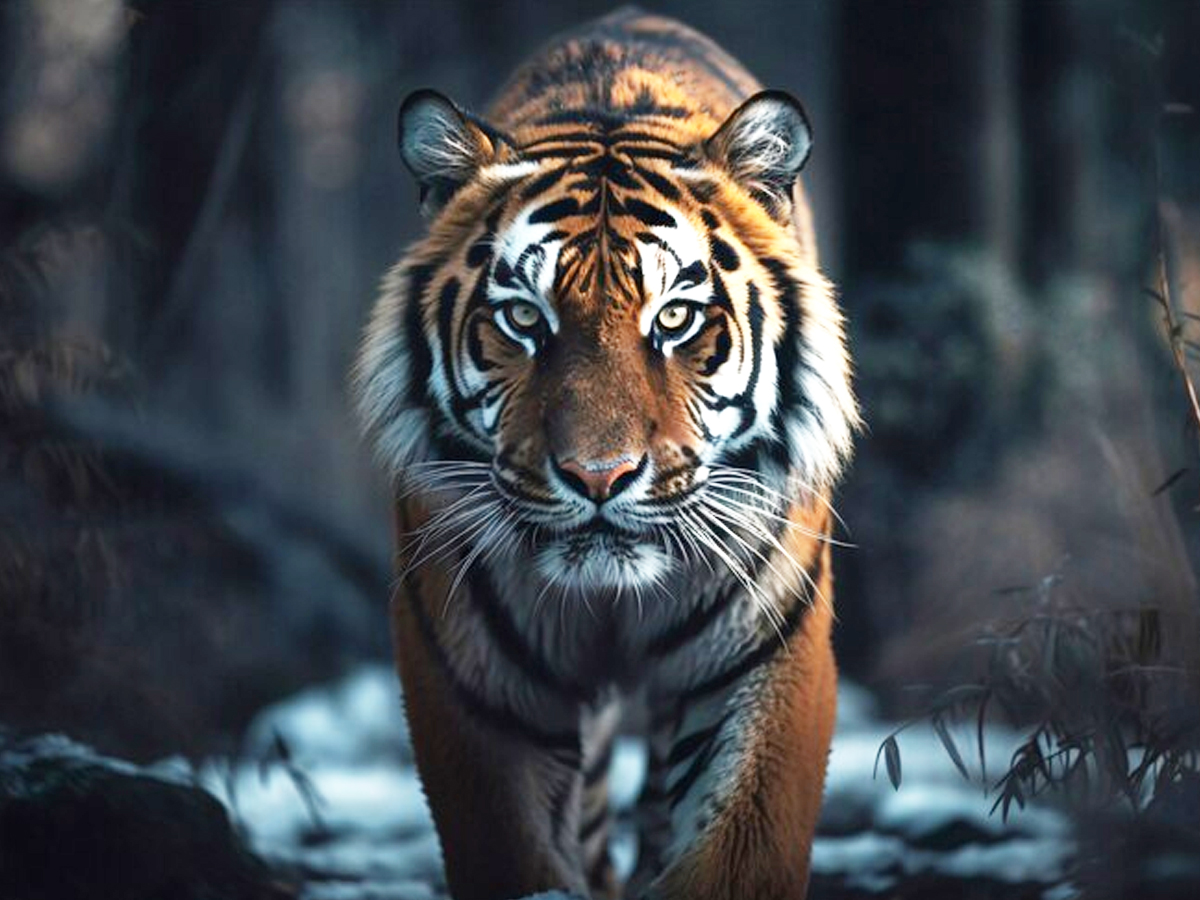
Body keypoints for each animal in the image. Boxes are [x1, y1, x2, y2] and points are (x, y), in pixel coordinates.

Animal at [353, 8, 859, 900]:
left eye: (675, 318)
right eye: (524, 318)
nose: (599, 477)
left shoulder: (766, 658)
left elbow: (735, 851)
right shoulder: (473, 686)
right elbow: (517, 856)